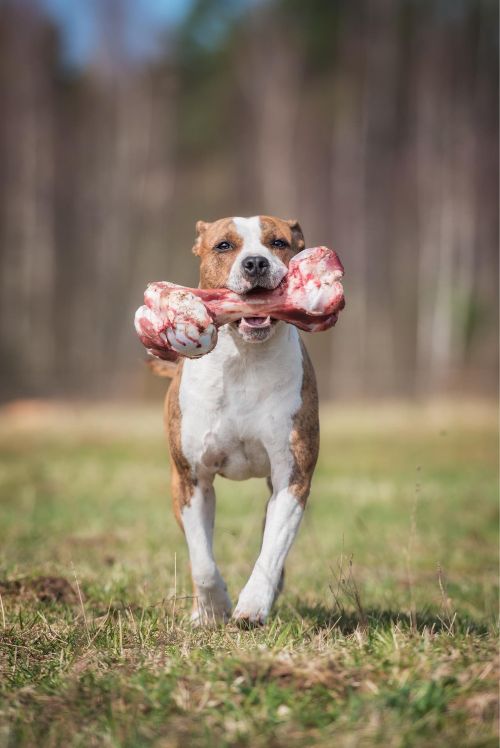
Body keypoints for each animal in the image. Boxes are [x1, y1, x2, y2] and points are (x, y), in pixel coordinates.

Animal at [165, 216, 320, 624]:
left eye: (278, 242)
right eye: (224, 245)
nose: (255, 263)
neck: (244, 359)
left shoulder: (291, 477)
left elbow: (272, 549)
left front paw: (252, 606)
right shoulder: (190, 479)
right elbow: (202, 561)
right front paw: (213, 609)